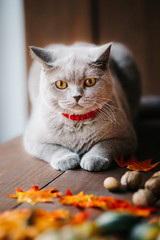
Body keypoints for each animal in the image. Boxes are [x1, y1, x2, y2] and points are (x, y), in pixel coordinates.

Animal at [23, 42, 141, 172]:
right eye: (61, 84)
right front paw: (67, 160)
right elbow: (53, 148)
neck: (78, 122)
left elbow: (105, 145)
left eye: (90, 82)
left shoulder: (126, 138)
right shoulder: (33, 140)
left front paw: (93, 159)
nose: (76, 96)